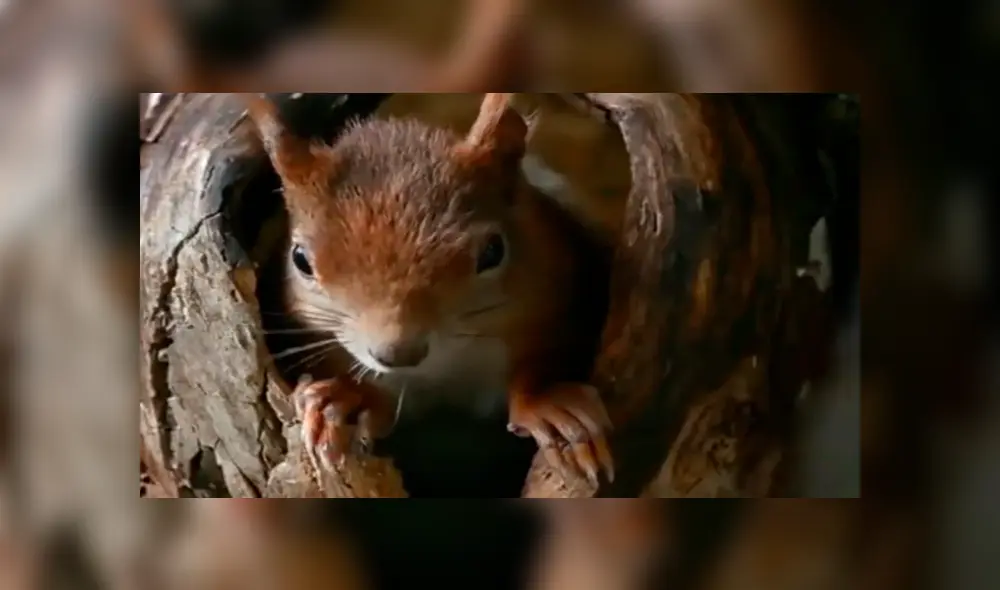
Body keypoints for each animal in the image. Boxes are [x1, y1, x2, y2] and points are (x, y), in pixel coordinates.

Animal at [247, 93, 614, 486]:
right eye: (300, 259)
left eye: (493, 251)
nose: (397, 354)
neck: (442, 369)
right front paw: (344, 400)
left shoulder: (555, 299)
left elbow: (549, 358)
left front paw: (551, 403)